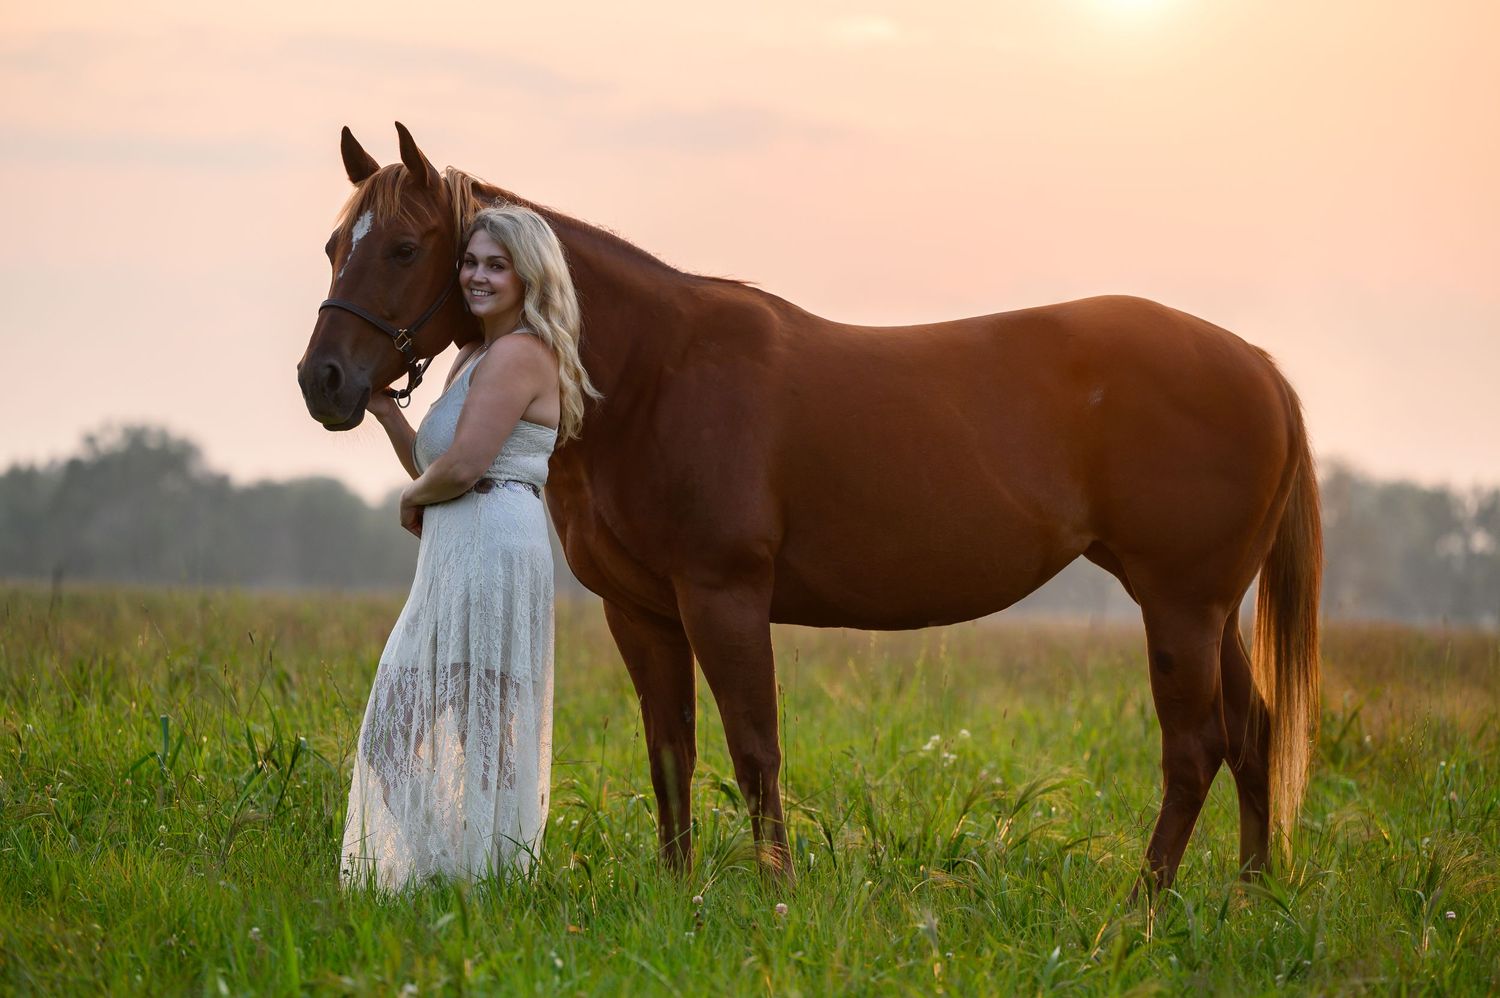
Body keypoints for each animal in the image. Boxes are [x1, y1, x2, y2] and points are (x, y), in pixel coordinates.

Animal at [298, 122, 1321, 891]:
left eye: (403, 247)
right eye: (334, 246)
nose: (325, 381)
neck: (653, 373)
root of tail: (1258, 366)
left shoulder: (725, 596)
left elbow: (755, 747)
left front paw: (776, 891)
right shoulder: (642, 612)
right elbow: (671, 751)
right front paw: (678, 889)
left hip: (1180, 606)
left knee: (1194, 747)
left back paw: (1144, 908)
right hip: (1203, 607)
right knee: (1252, 733)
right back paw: (1246, 897)